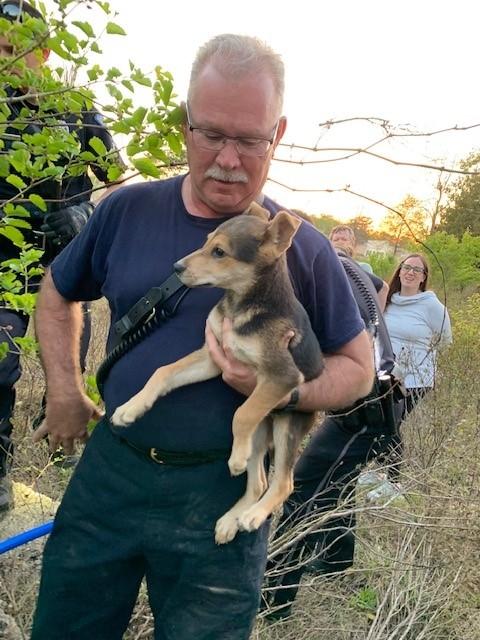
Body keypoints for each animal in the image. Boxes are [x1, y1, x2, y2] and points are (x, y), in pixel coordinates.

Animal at [110, 202, 324, 544]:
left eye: (219, 252)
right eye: (206, 240)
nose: (177, 267)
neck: (242, 305)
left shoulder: (283, 376)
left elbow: (242, 414)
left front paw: (234, 459)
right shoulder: (212, 357)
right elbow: (162, 371)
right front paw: (132, 408)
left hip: (286, 424)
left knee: (283, 482)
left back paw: (252, 514)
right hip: (262, 432)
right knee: (260, 482)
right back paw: (230, 520)